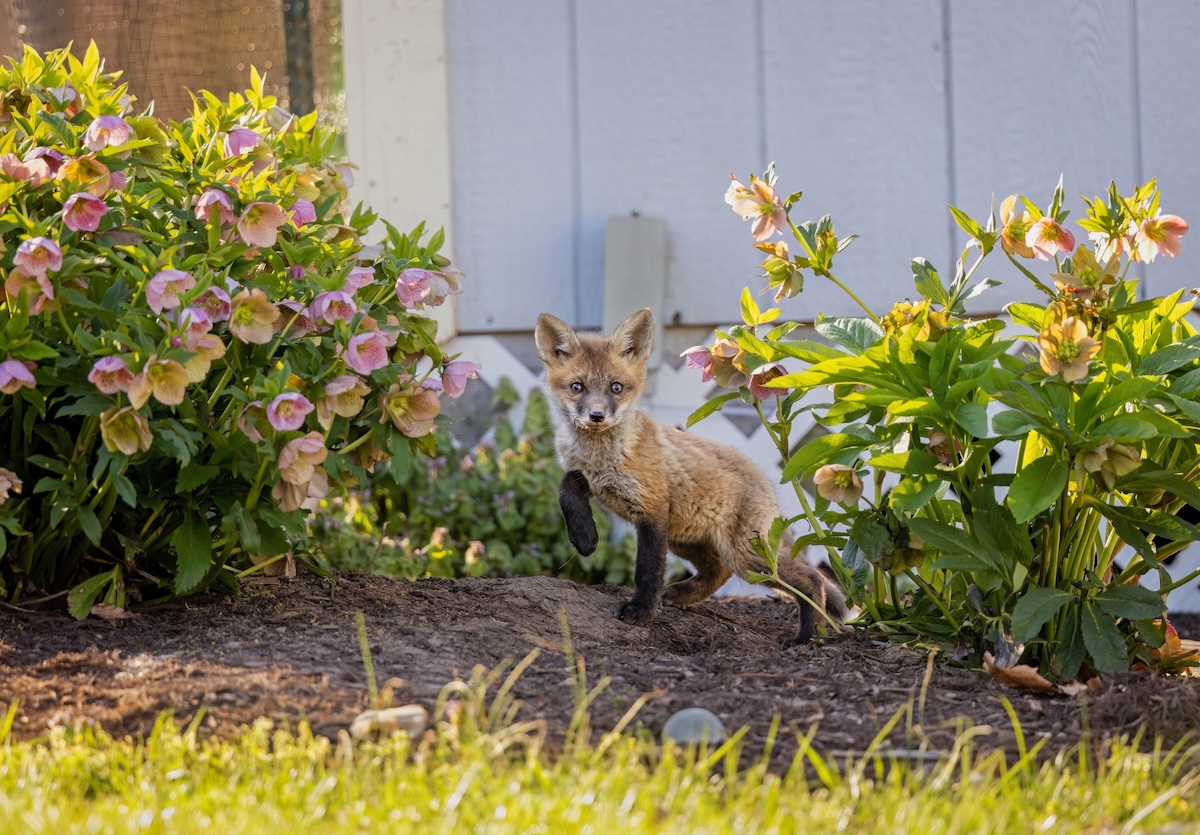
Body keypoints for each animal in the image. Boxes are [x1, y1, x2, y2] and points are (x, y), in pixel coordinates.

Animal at [535, 308, 847, 646]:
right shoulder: (593, 482)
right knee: (718, 572)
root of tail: (764, 479)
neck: (601, 457)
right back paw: (682, 595)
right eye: (577, 387)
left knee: (811, 579)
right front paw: (585, 537)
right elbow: (566, 487)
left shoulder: (652, 509)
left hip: (746, 556)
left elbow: (647, 570)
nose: (596, 416)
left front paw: (640, 610)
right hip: (687, 540)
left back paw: (807, 635)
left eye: (616, 387)